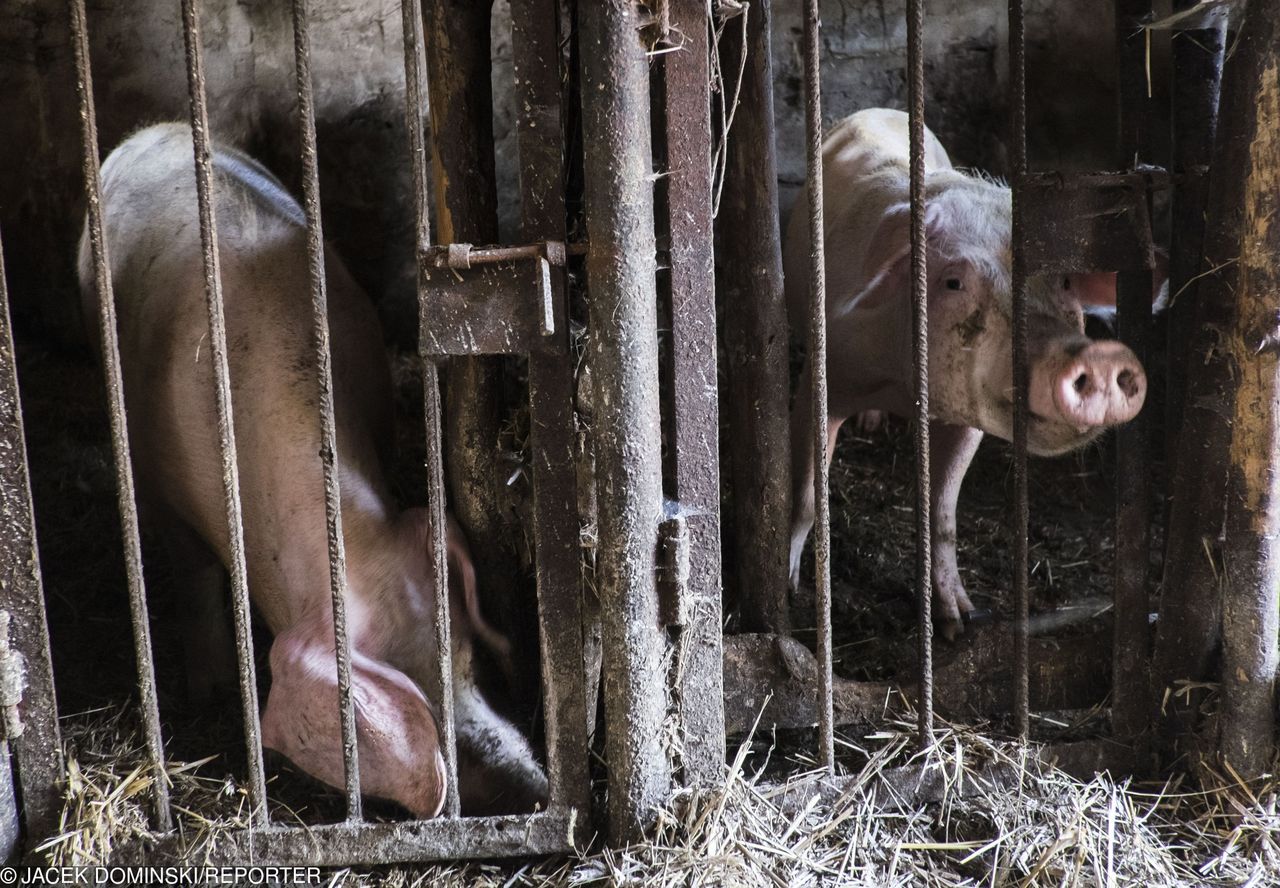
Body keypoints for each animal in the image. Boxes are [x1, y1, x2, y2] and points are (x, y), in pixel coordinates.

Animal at [783, 109, 1146, 639]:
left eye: (1062, 280)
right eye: (954, 281)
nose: (1100, 357)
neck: (902, 385)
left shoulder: (968, 420)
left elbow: (944, 516)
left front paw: (960, 620)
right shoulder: (824, 374)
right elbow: (810, 493)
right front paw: (790, 589)